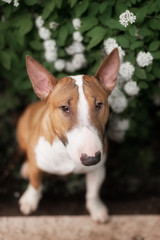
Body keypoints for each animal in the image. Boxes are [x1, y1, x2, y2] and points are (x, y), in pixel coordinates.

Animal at [16, 48, 119, 223]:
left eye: (99, 104)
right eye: (65, 107)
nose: (91, 159)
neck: (65, 152)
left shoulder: (98, 169)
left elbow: (93, 192)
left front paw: (97, 209)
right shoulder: (37, 166)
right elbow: (35, 184)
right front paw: (30, 200)